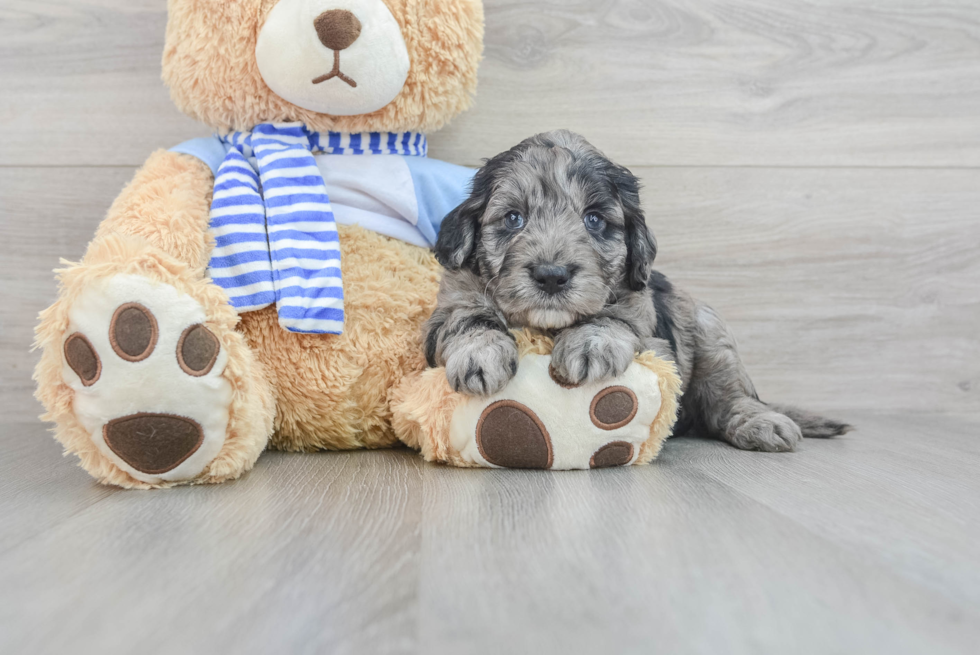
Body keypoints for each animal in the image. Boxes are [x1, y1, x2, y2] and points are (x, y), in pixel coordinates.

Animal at [424, 131, 848, 454]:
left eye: (594, 220)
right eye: (514, 218)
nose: (551, 276)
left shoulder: (650, 327)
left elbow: (618, 315)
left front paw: (591, 343)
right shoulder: (447, 309)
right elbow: (469, 316)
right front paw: (480, 352)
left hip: (709, 328)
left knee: (730, 399)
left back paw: (761, 422)